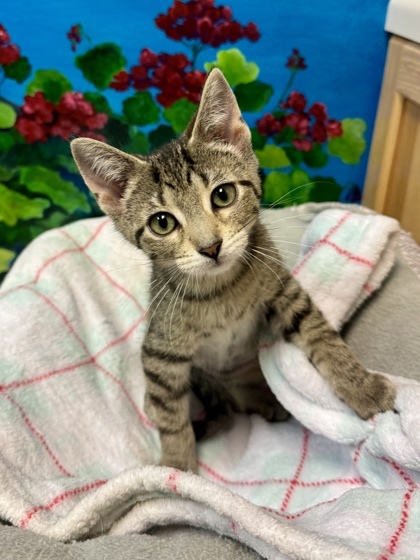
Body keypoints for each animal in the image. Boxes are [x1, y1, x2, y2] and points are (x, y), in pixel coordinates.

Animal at [70, 69, 396, 472]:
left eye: (223, 195)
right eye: (162, 223)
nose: (210, 247)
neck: (220, 289)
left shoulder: (284, 290)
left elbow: (322, 335)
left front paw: (362, 387)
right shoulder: (161, 350)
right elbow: (171, 415)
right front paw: (176, 470)